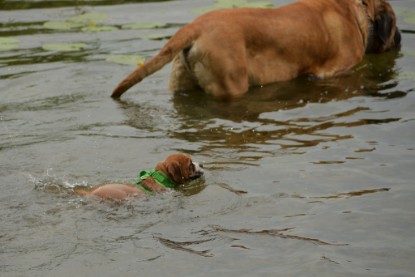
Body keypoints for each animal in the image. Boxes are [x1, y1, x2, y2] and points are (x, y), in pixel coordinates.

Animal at [110, 0, 400, 99]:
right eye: (396, 24)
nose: (399, 39)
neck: (358, 10)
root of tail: (195, 26)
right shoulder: (335, 71)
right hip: (230, 84)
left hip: (181, 82)